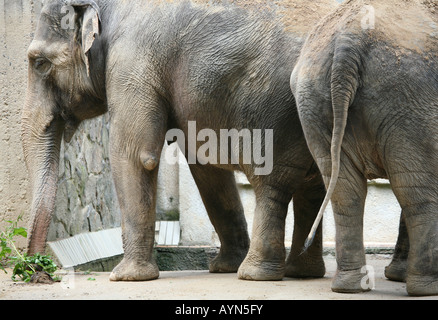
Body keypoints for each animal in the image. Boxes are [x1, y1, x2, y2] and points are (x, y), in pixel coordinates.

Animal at [19, 0, 338, 280]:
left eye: (40, 63)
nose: (37, 272)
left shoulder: (132, 62)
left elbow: (134, 155)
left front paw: (125, 277)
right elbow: (206, 167)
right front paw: (223, 267)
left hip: (276, 110)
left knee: (272, 183)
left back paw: (255, 275)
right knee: (311, 187)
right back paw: (300, 272)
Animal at [290, 0, 438, 296]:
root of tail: (351, 36)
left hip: (311, 99)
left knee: (345, 191)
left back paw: (348, 287)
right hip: (410, 98)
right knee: (417, 193)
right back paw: (427, 288)